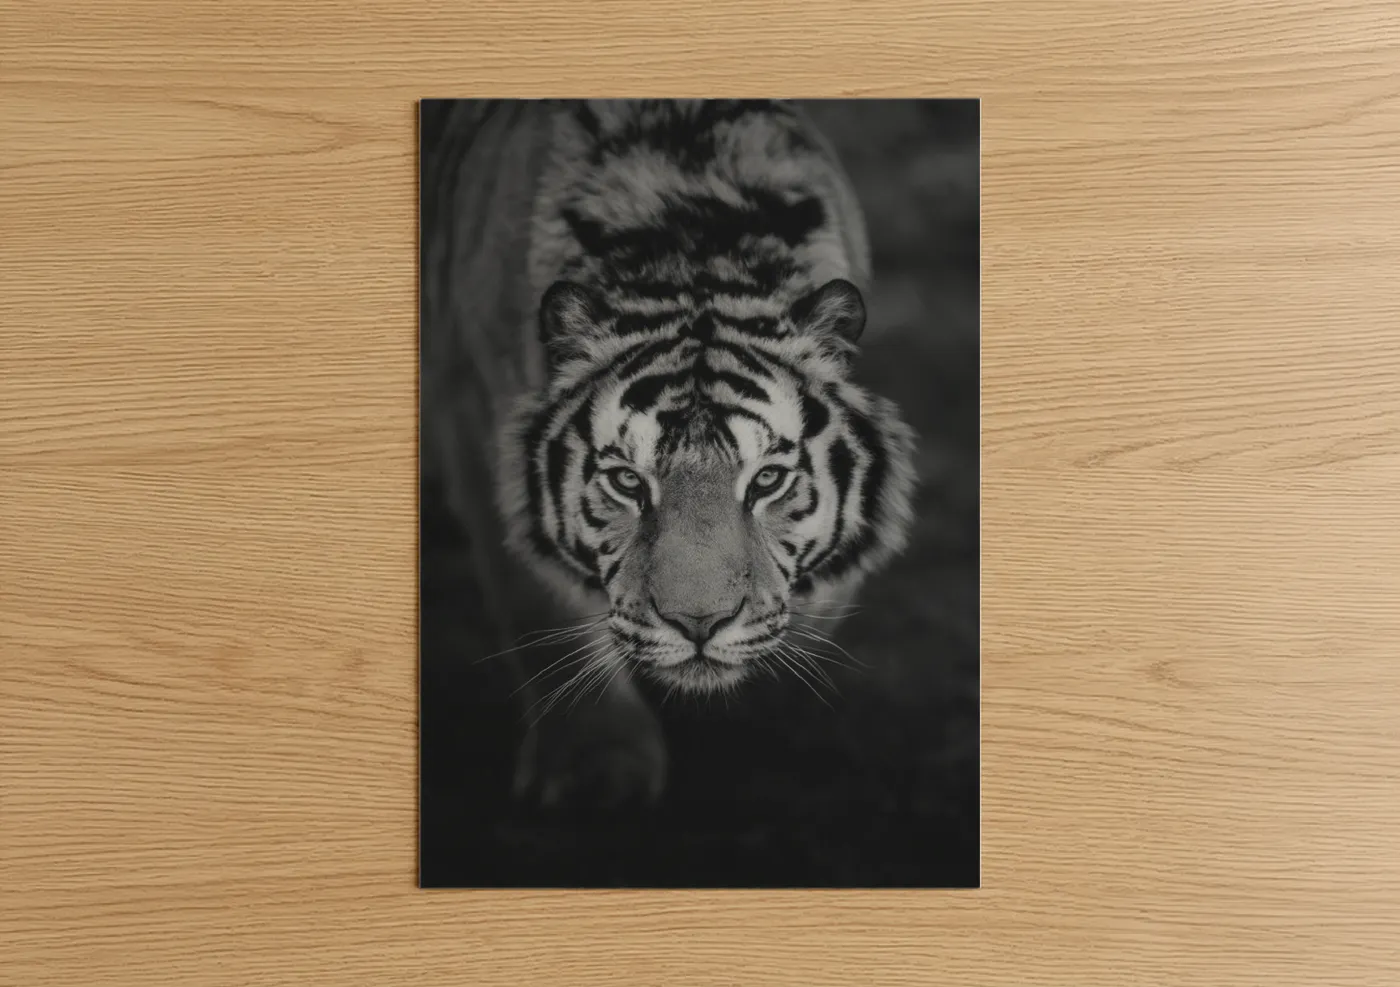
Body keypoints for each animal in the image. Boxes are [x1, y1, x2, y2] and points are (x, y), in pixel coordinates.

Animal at [421, 99, 916, 808]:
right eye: (628, 483)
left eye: (767, 480)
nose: (699, 625)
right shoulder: (470, 408)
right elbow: (538, 596)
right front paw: (597, 769)